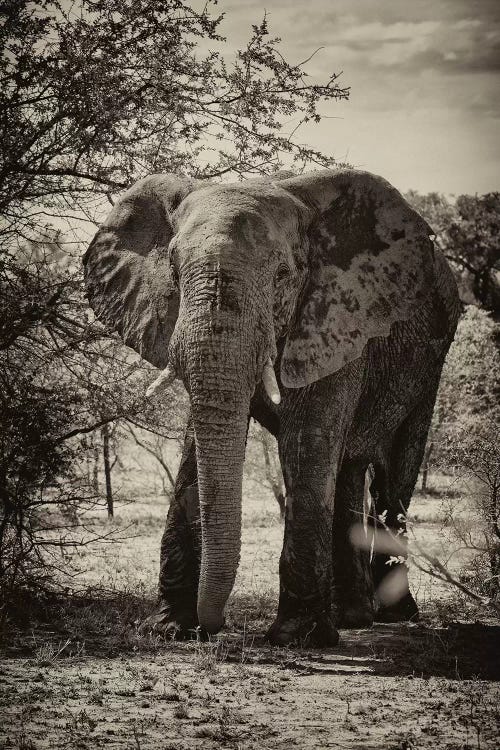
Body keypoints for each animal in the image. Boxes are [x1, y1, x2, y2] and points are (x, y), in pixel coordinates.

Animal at [83, 169, 460, 648]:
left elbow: (307, 440)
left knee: (394, 476)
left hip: (431, 361)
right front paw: (168, 628)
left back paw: (394, 615)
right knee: (350, 470)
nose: (215, 627)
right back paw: (354, 618)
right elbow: (198, 442)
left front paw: (297, 638)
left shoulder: (337, 316)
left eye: (283, 274)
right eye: (173, 269)